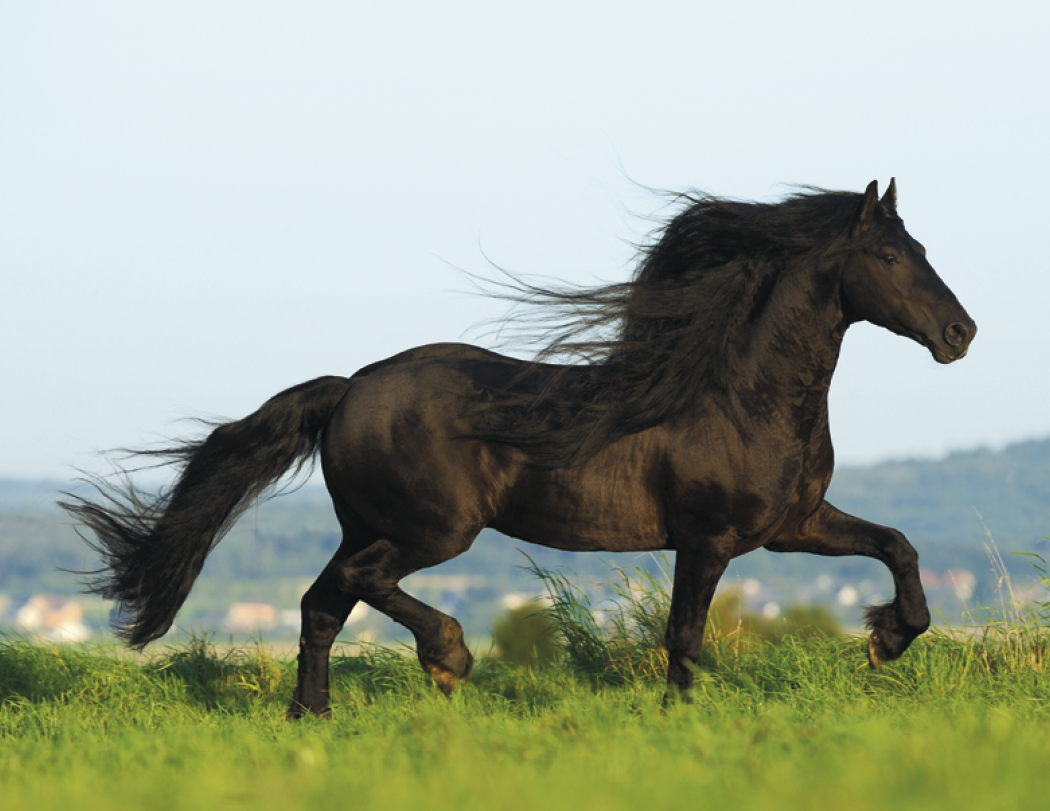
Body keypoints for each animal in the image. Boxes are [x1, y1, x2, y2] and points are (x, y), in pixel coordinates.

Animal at [62, 179, 976, 716]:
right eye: (888, 253)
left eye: (924, 249)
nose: (960, 333)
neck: (737, 396)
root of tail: (350, 387)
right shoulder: (708, 538)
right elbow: (684, 635)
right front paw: (682, 720)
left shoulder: (791, 524)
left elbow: (898, 545)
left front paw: (887, 638)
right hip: (433, 530)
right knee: (358, 588)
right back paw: (447, 658)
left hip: (373, 525)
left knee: (324, 601)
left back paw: (313, 715)